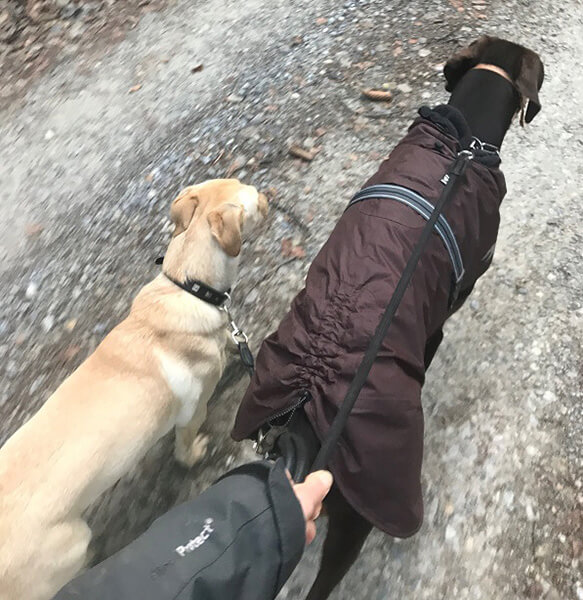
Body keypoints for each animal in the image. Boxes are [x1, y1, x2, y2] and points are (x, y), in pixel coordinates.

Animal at [0, 179, 267, 600]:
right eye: (249, 197)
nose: (265, 195)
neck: (187, 287)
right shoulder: (194, 411)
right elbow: (186, 445)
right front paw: (194, 454)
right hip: (70, 547)